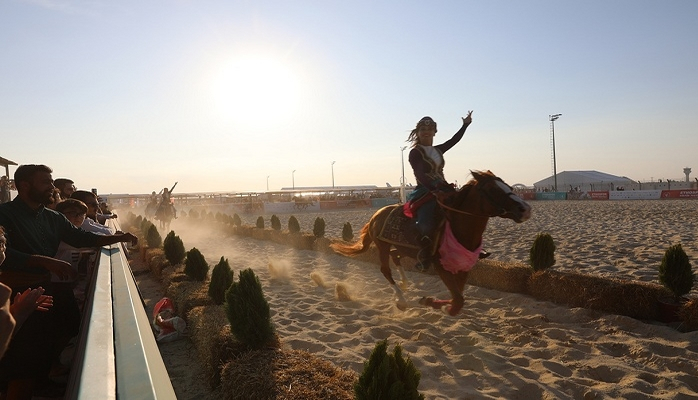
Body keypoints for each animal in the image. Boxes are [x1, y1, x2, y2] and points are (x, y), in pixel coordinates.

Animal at [328, 170, 532, 314]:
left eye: (508, 185)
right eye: (492, 190)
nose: (525, 209)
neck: (458, 227)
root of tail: (376, 214)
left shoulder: (464, 267)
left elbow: (458, 297)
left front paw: (430, 301)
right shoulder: (441, 266)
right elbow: (457, 302)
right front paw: (432, 303)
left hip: (404, 248)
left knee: (396, 256)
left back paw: (405, 283)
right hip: (382, 246)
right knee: (385, 269)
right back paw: (401, 300)